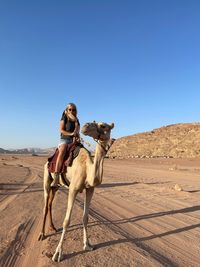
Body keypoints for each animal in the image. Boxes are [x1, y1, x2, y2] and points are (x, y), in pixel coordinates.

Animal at [38, 122, 115, 264]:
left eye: (103, 126)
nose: (85, 126)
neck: (87, 167)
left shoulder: (90, 189)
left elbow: (85, 218)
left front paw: (87, 245)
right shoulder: (73, 189)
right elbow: (66, 221)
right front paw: (58, 254)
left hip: (56, 186)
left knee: (50, 203)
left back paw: (53, 227)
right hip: (46, 178)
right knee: (45, 206)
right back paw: (42, 234)